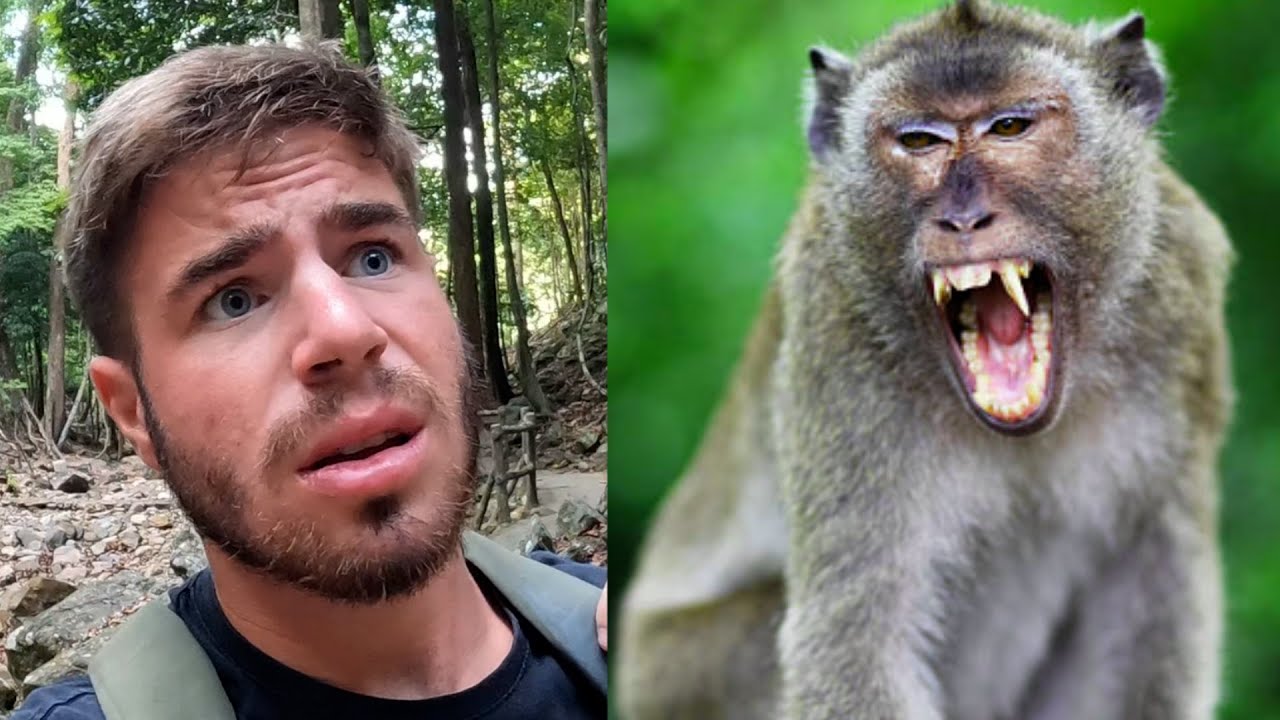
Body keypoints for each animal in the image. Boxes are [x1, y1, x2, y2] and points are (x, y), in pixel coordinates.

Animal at [616, 2, 1234, 719]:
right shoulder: (835, 326)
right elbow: (856, 643)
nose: (963, 219)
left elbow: (1152, 599)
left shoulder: (1182, 291)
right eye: (919, 141)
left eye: (1010, 127)